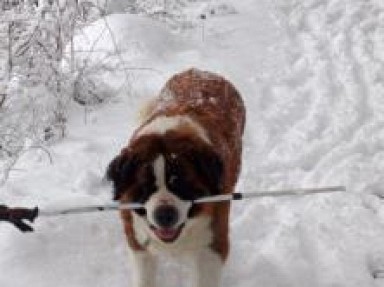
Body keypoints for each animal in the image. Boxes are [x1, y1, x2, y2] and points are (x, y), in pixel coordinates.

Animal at [107, 69, 246, 287]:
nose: (165, 215)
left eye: (182, 184)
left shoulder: (212, 247)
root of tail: (201, 71)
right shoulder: (138, 243)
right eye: (146, 186)